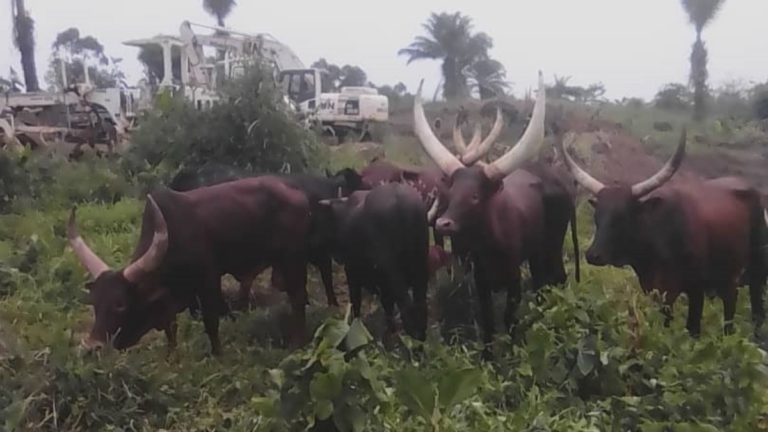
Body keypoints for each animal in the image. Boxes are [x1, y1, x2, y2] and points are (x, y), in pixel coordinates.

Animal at [67, 177, 312, 355]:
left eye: (120, 304)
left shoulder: (208, 283)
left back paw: (297, 344)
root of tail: (298, 194)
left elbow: (211, 324)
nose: (91, 348)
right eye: (94, 302)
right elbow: (171, 330)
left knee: (298, 299)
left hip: (293, 260)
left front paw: (217, 356)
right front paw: (171, 357)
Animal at [413, 72, 580, 358]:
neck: (491, 244)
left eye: (475, 196)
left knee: (557, 277)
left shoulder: (513, 281)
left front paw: (512, 354)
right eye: (451, 192)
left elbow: (509, 319)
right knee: (540, 282)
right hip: (536, 253)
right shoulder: (480, 280)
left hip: (552, 246)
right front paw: (488, 357)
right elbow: (488, 320)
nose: (443, 223)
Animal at [559, 129, 766, 337]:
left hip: (754, 272)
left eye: (623, 216)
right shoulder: (656, 291)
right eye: (597, 215)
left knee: (749, 310)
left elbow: (692, 329)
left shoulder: (695, 289)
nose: (593, 255)